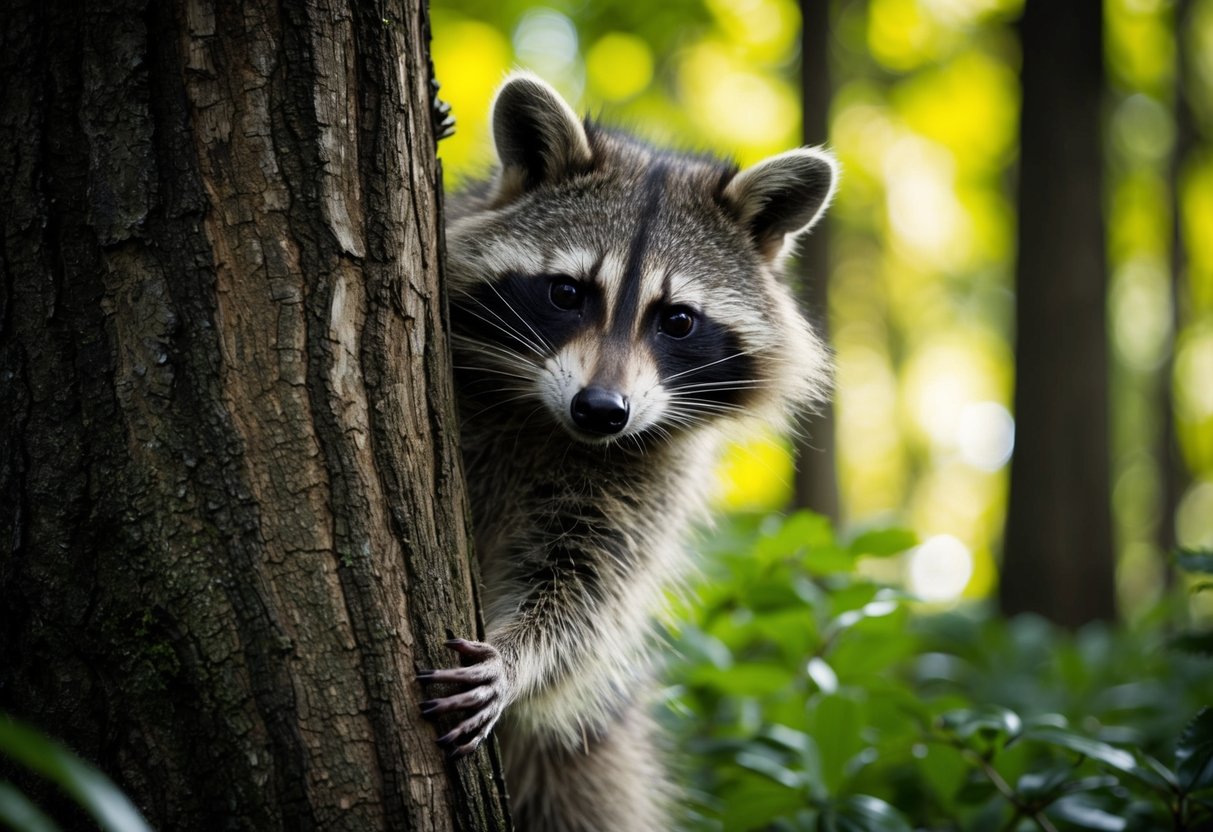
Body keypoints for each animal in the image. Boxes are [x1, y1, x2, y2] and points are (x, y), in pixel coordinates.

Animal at [417, 72, 837, 831]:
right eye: (566, 292)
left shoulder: (649, 474)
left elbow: (586, 591)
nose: (601, 411)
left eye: (678, 321)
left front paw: (518, 657)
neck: (548, 419)